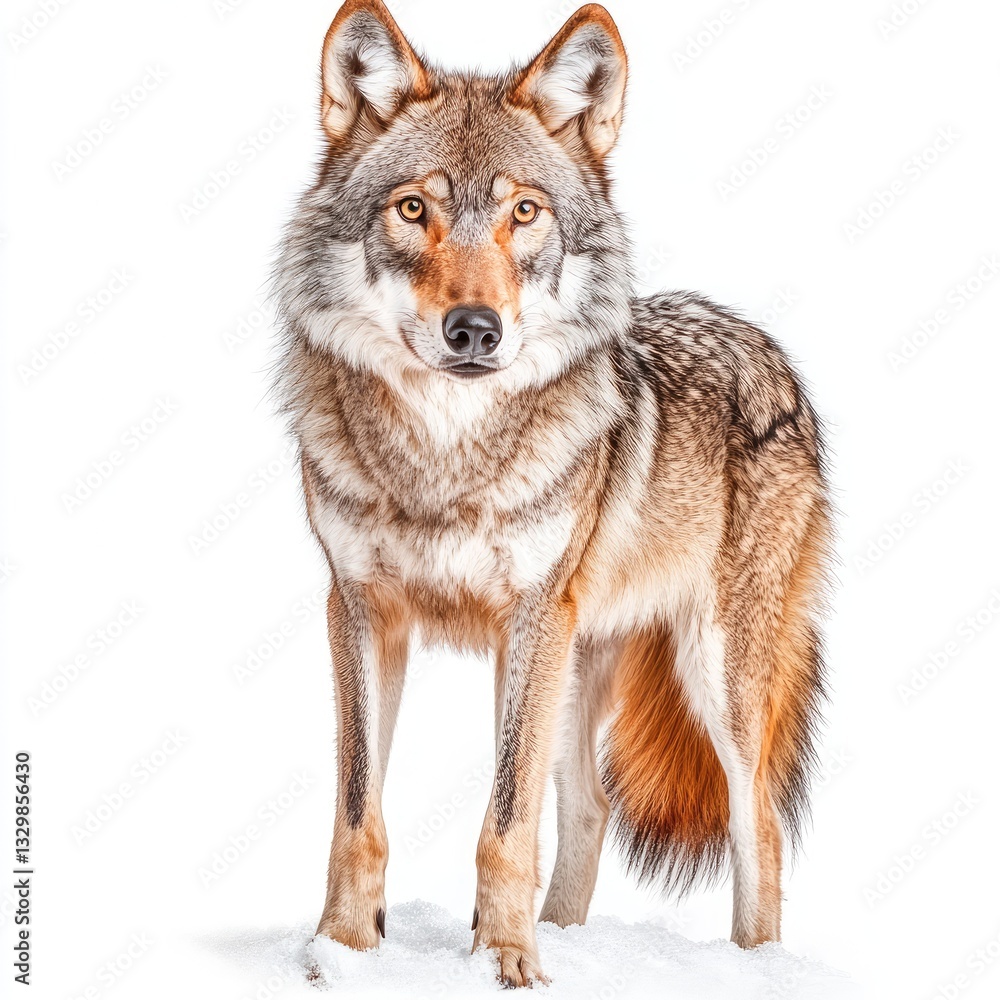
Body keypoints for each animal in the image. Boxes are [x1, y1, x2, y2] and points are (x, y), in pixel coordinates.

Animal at [273, 0, 831, 986]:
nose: (474, 329)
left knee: (755, 821)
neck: (447, 459)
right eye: (413, 208)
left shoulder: (529, 616)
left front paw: (503, 963)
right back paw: (565, 941)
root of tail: (771, 351)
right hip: (575, 664)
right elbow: (358, 814)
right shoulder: (360, 607)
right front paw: (341, 954)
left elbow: (503, 823)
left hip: (709, 673)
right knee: (589, 809)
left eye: (523, 212)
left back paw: (747, 968)